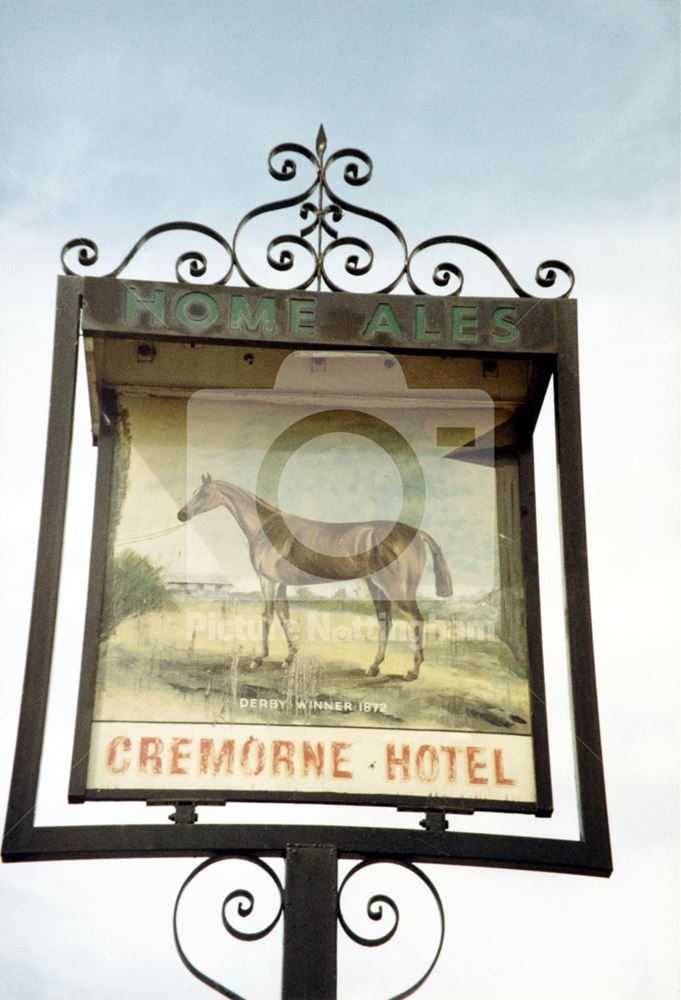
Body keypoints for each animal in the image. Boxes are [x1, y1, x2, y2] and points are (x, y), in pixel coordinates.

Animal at [178, 474, 448, 680]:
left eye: (204, 493)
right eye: (194, 491)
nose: (182, 514)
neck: (266, 528)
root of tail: (417, 533)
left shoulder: (269, 581)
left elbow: (267, 616)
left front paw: (259, 658)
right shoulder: (281, 584)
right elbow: (284, 615)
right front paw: (289, 658)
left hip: (397, 589)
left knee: (416, 621)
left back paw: (412, 671)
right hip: (377, 586)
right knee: (386, 622)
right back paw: (373, 667)